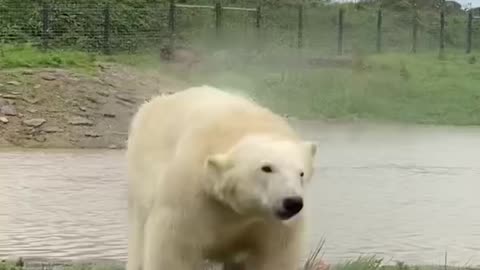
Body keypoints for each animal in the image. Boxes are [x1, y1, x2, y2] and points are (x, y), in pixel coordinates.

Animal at [125, 85, 316, 270]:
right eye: (266, 168)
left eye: (301, 173)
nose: (292, 202)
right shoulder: (190, 198)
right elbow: (174, 251)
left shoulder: (270, 224)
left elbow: (275, 257)